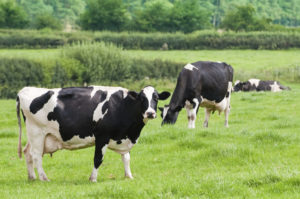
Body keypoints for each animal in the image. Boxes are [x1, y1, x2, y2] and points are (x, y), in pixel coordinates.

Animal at [17, 85, 171, 182]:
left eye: (156, 98)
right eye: (142, 98)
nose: (150, 113)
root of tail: (25, 90)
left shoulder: (123, 137)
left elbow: (126, 158)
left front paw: (129, 176)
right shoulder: (102, 136)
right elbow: (98, 159)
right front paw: (93, 179)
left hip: (36, 136)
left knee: (27, 152)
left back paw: (32, 177)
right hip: (37, 132)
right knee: (36, 156)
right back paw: (44, 178)